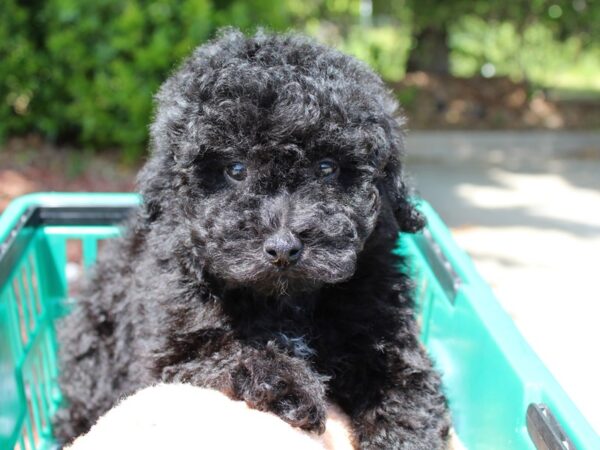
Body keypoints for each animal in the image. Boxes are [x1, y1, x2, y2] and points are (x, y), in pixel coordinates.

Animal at [54, 29, 450, 450]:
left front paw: (406, 433)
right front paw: (289, 387)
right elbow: (225, 352)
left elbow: (405, 379)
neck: (287, 302)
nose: (283, 249)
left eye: (327, 168)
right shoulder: (170, 347)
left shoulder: (380, 319)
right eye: (236, 169)